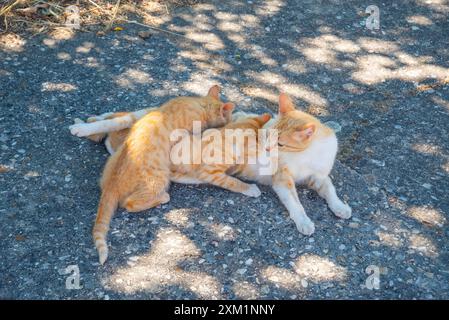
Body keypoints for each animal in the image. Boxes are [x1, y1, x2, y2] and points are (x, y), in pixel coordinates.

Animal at [88, 86, 234, 264]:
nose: (231, 120)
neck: (199, 105)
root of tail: (111, 184)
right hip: (158, 180)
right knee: (130, 203)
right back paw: (163, 197)